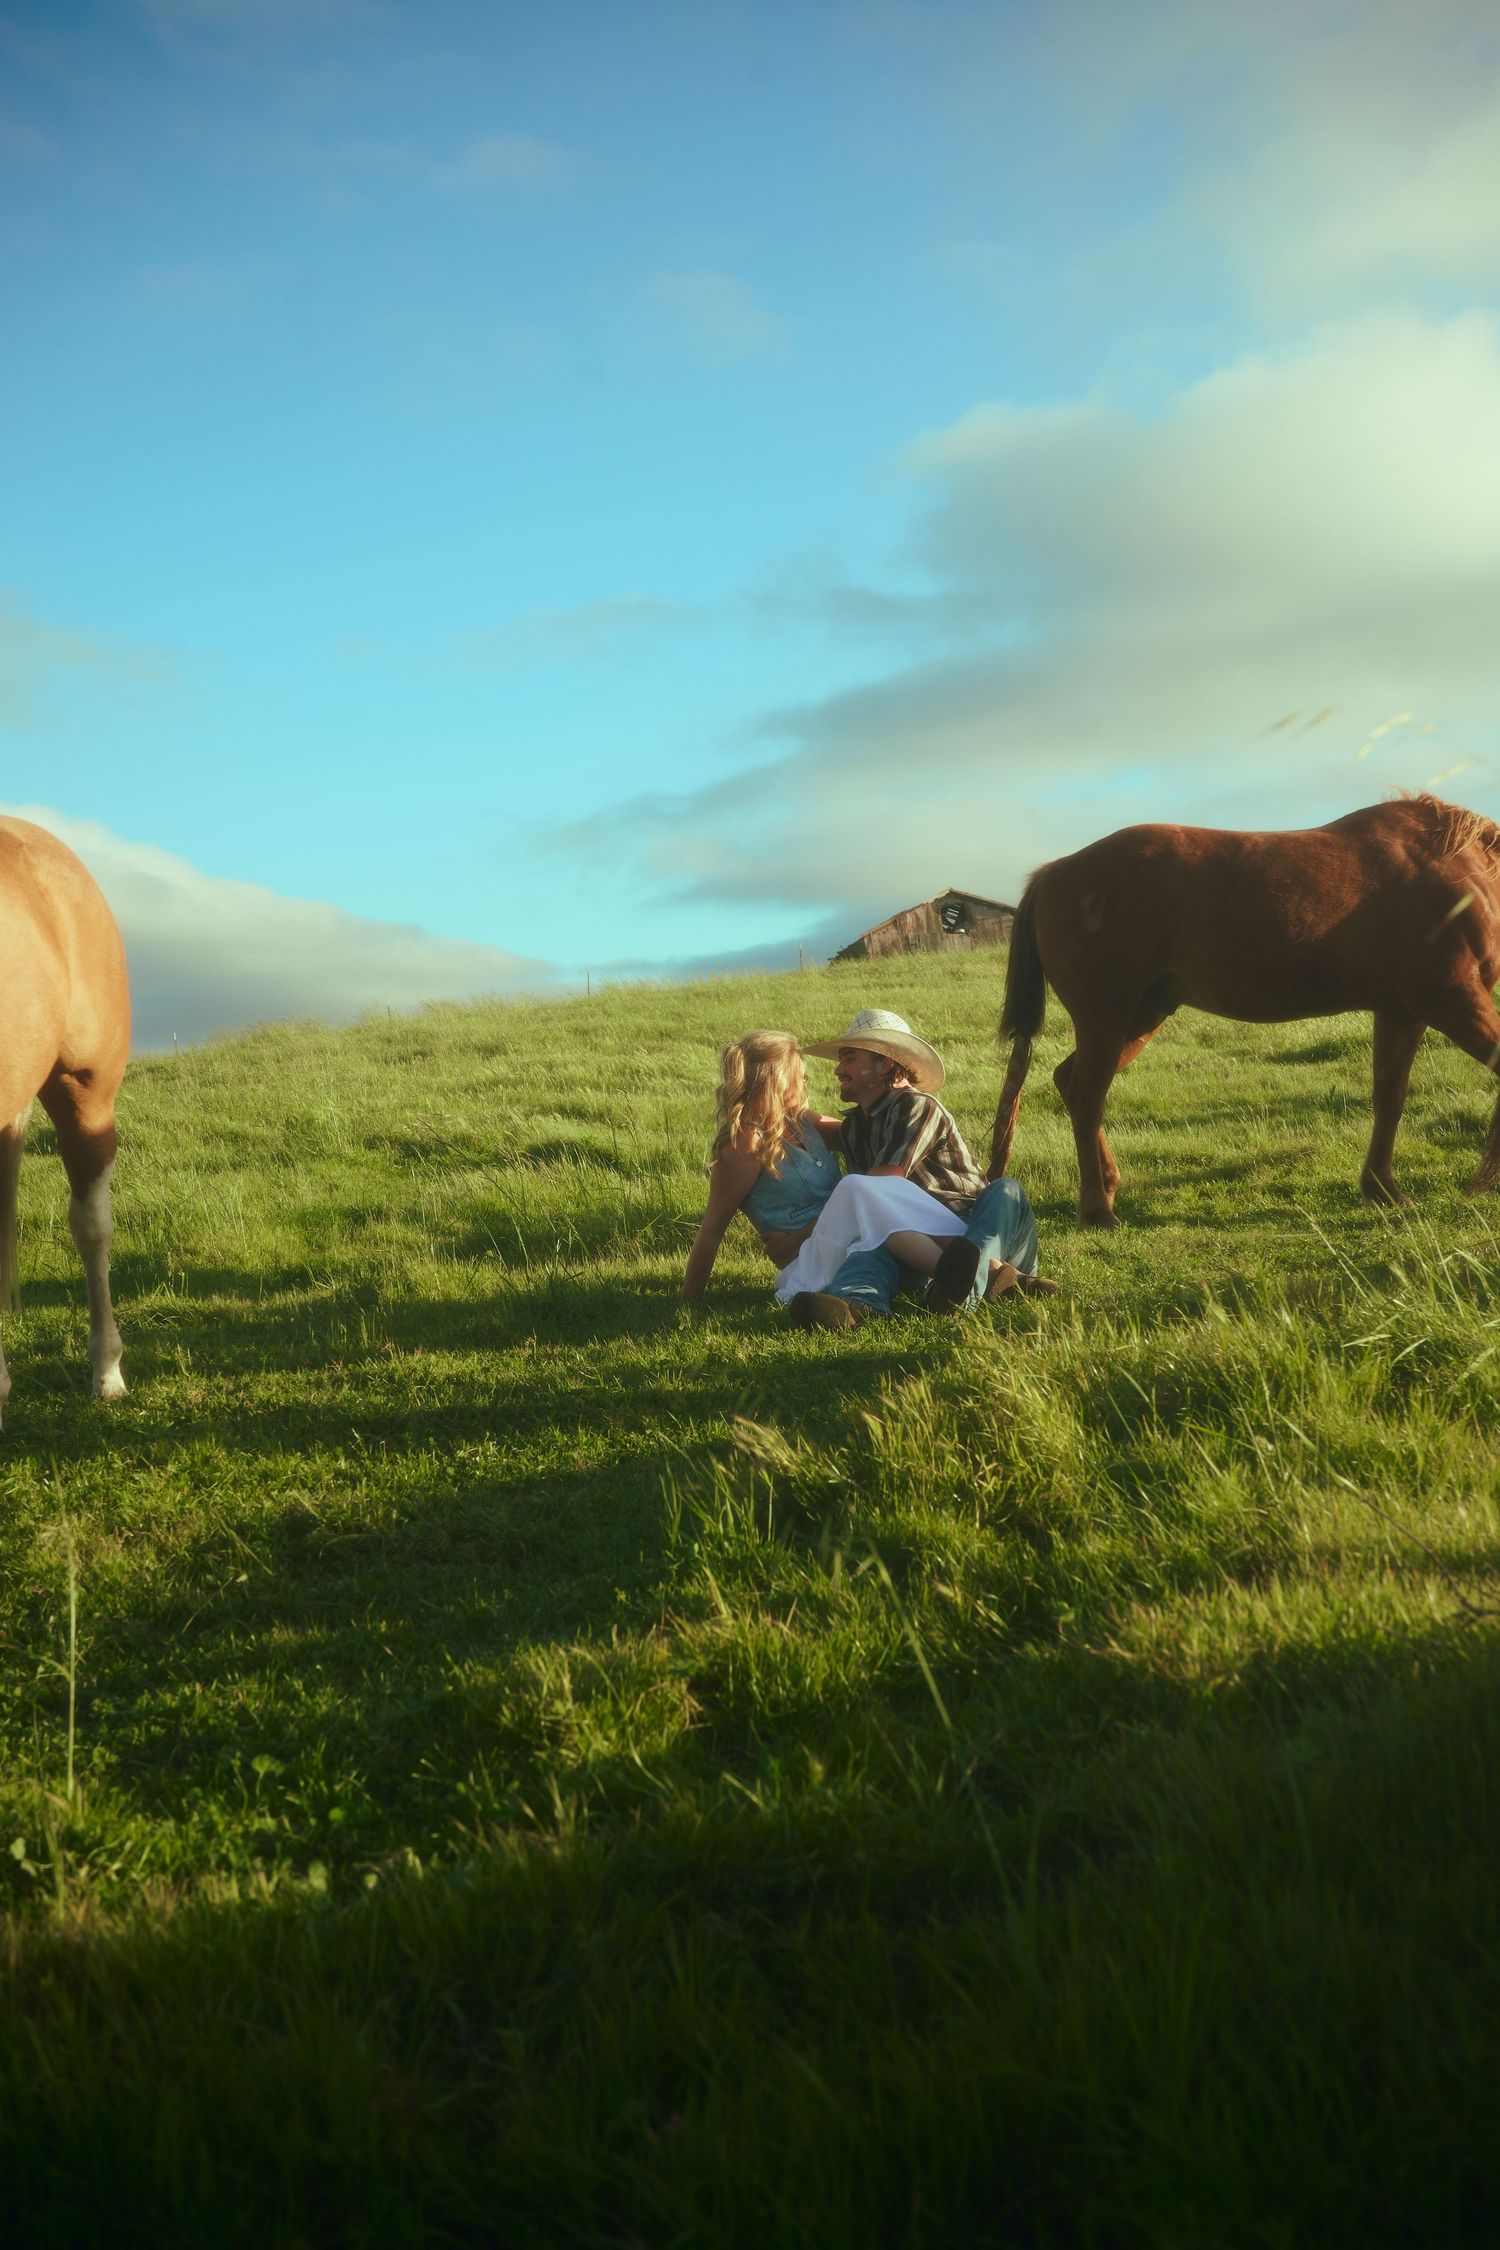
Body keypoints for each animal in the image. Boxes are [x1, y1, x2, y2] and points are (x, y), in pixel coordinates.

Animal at [989, 794, 1500, 1227]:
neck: (1457, 870)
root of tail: (1055, 872)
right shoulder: (1453, 1000)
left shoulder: (1401, 1013)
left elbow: (1389, 1099)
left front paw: (1382, 1189)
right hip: (1106, 1019)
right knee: (1088, 1096)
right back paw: (1097, 1210)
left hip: (1139, 1018)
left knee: (1069, 1084)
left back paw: (1108, 1186)